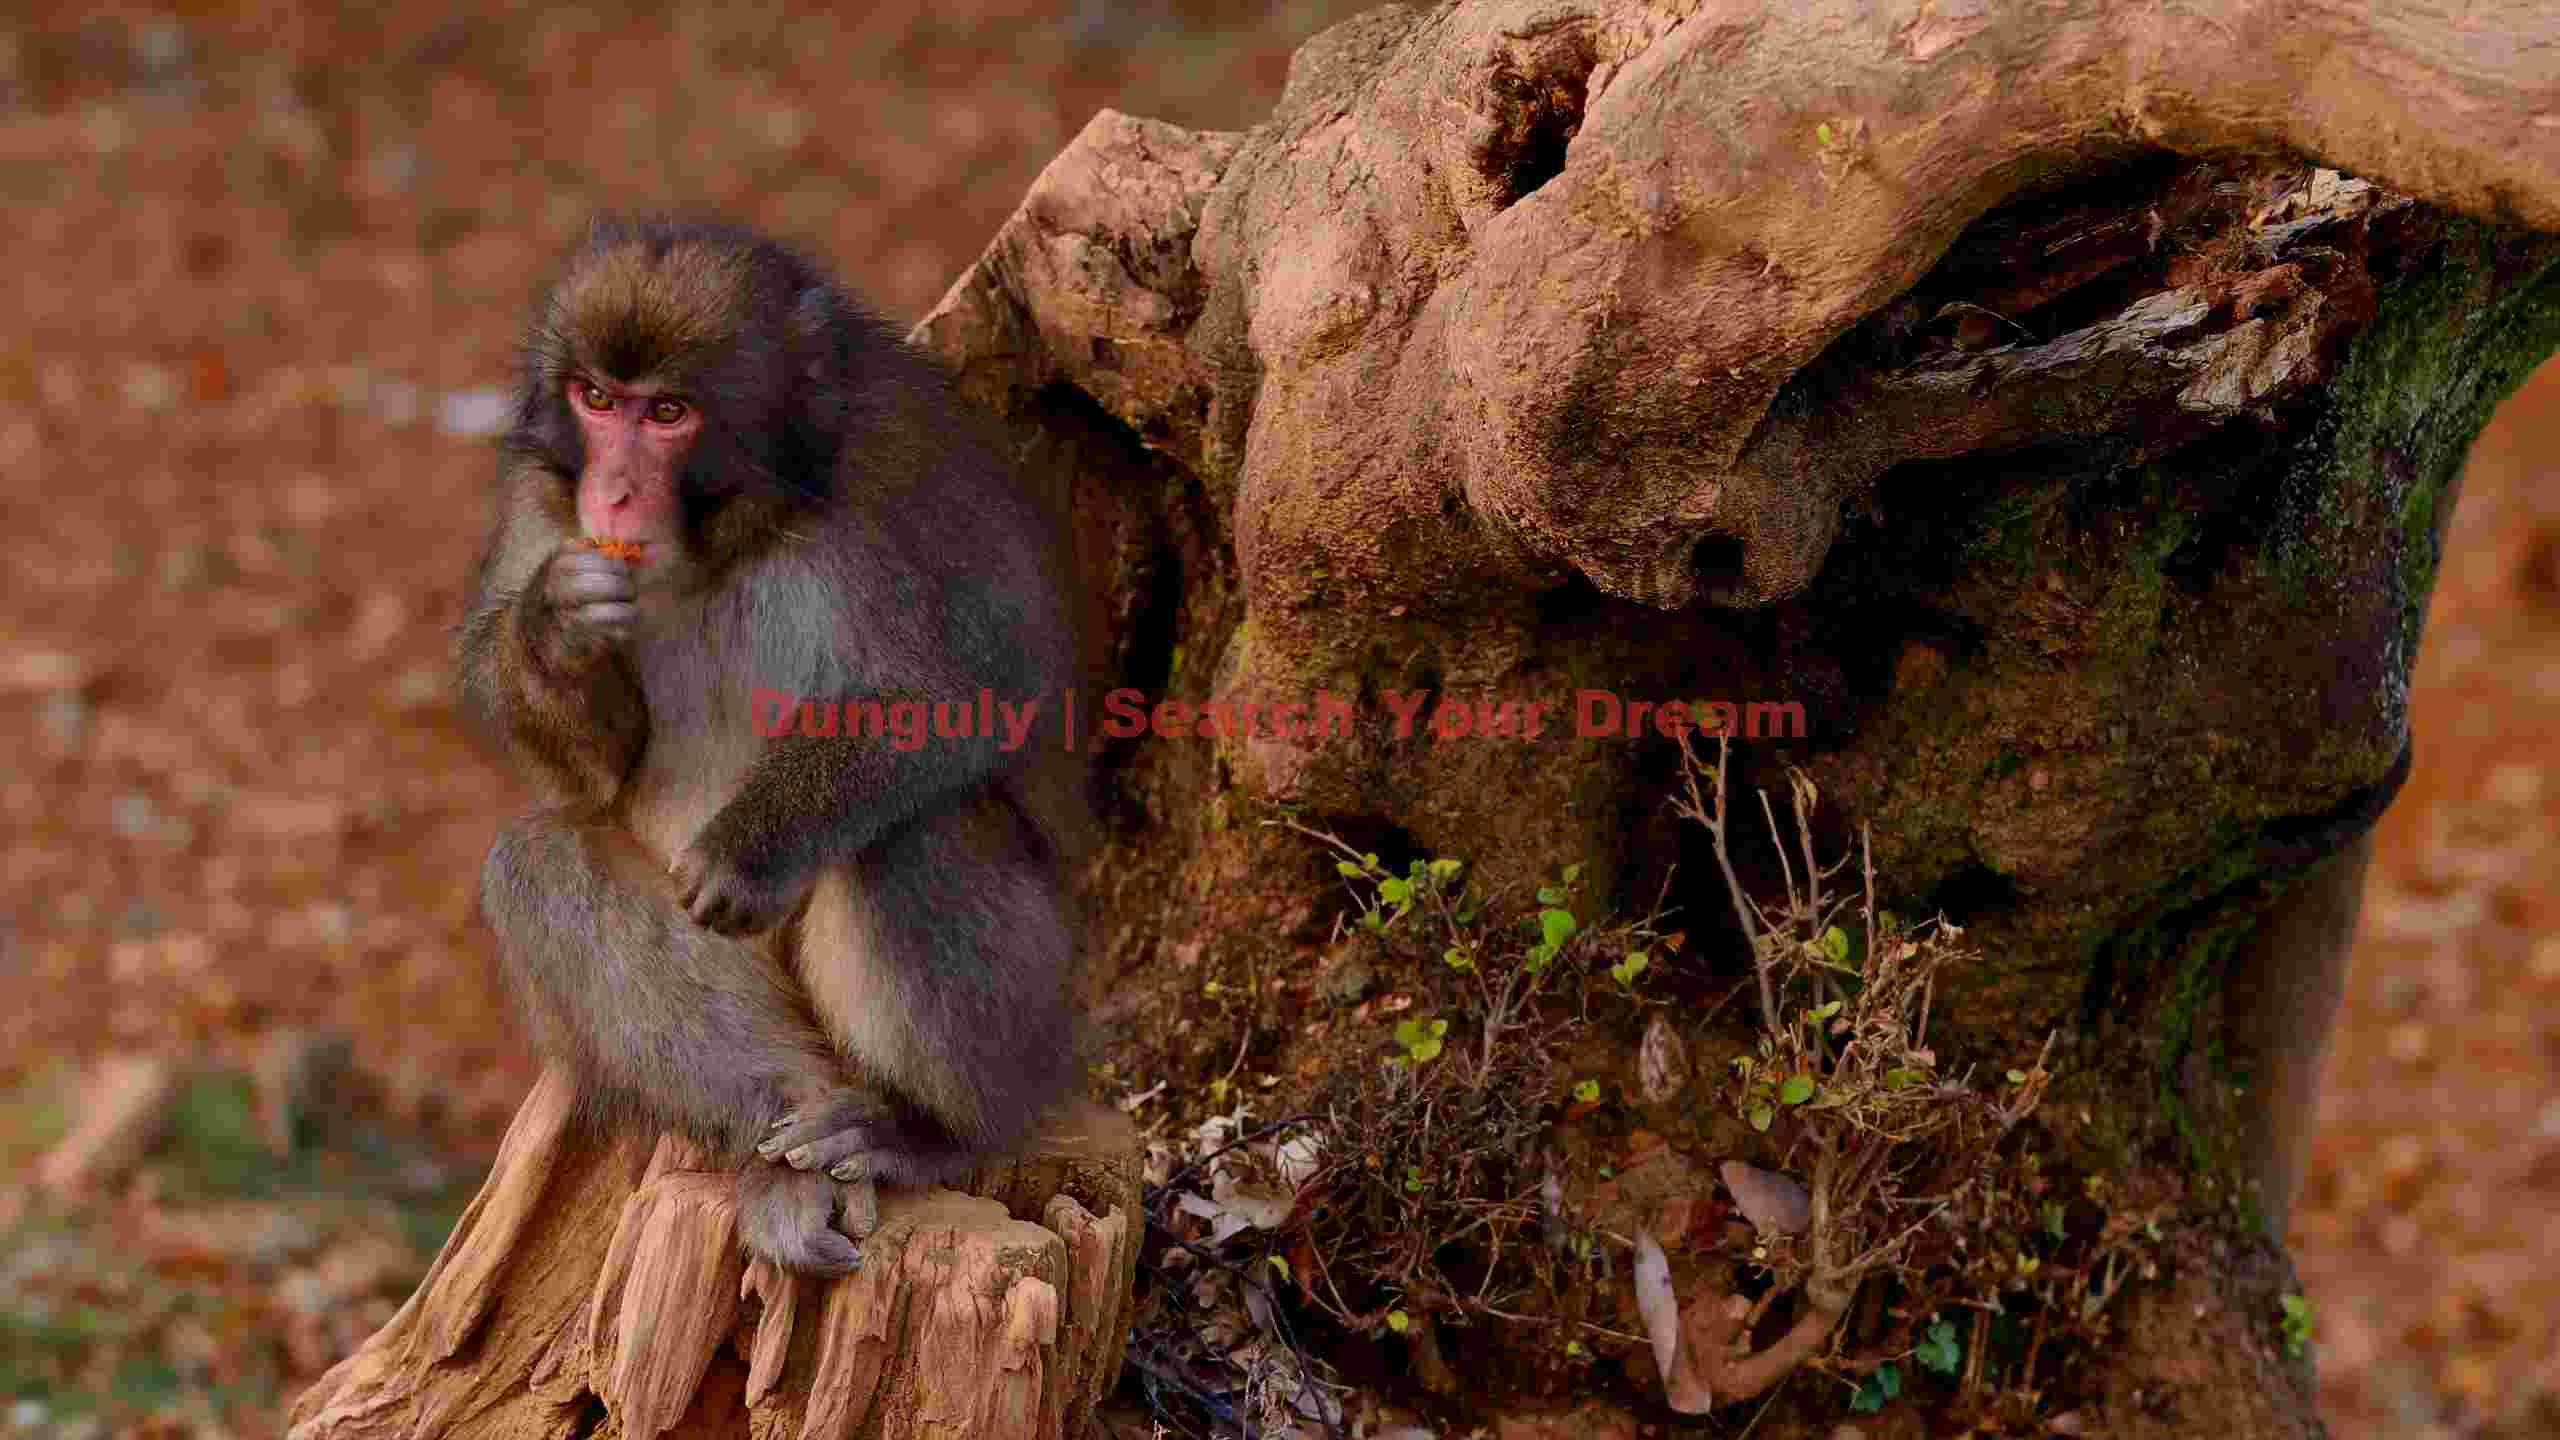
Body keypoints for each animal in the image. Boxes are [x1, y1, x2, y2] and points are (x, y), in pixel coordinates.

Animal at [456, 218, 1087, 1276]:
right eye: (597, 400)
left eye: (668, 413)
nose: (612, 494)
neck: (737, 528)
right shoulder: (541, 503)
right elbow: (584, 776)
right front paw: (554, 627)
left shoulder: (901, 467)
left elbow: (968, 694)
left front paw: (752, 847)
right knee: (540, 860)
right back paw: (777, 1134)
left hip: (1047, 1013)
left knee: (911, 832)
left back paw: (925, 1129)